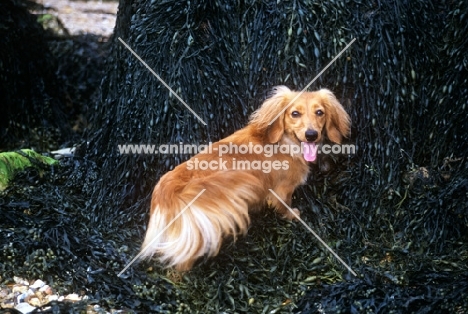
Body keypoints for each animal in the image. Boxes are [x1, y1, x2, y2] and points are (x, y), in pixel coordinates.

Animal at [141, 85, 350, 270]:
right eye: (295, 113)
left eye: (320, 112)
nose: (311, 135)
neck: (284, 143)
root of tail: (167, 189)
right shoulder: (282, 191)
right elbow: (284, 206)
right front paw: (292, 215)